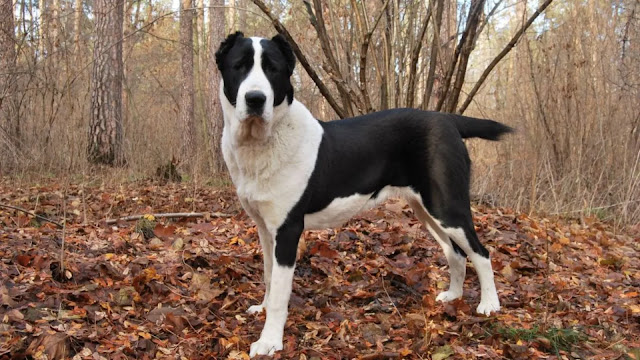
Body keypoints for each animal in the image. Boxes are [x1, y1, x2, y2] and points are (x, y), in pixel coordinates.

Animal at [218, 31, 512, 358]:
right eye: (239, 66)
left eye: (273, 69)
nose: (255, 99)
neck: (262, 141)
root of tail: (447, 120)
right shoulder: (265, 228)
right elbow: (269, 277)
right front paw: (263, 307)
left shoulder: (288, 230)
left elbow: (281, 292)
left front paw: (269, 341)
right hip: (425, 209)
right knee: (455, 252)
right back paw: (453, 296)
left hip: (447, 207)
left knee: (481, 252)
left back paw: (489, 305)